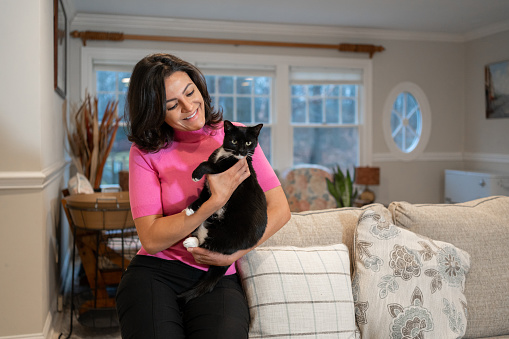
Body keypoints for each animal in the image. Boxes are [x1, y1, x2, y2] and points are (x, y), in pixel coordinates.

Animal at [179, 120, 266, 302]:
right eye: (234, 140)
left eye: (249, 142)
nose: (242, 151)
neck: (226, 154)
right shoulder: (211, 187)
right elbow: (205, 197)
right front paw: (191, 208)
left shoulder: (225, 170)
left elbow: (207, 164)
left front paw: (195, 174)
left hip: (230, 235)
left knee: (212, 244)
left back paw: (191, 242)